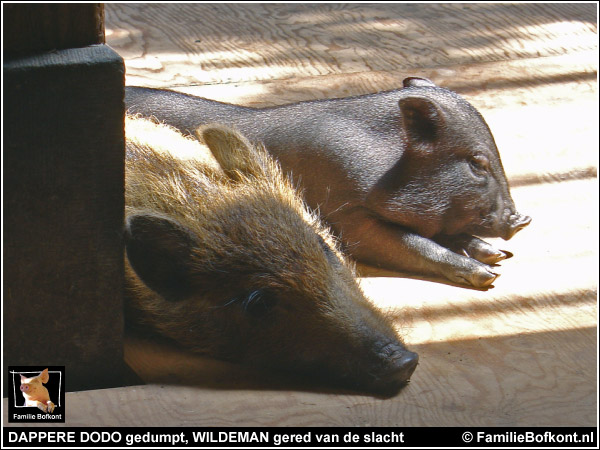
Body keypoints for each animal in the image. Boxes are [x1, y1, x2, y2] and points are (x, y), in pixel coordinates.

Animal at [125, 78, 528, 288]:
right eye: (477, 163)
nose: (522, 219)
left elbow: (446, 233)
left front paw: (497, 256)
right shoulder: (349, 216)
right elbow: (415, 243)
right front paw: (489, 275)